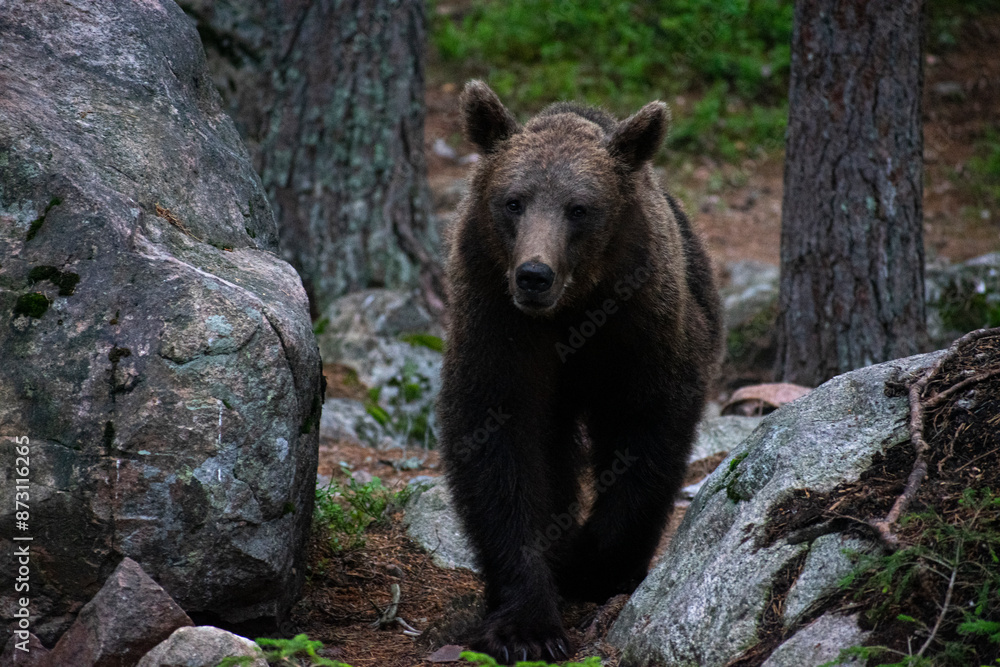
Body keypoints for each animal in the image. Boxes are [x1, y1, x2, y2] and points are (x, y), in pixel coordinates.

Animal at [436, 80, 722, 664]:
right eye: (513, 202)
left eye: (579, 208)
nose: (534, 275)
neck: (573, 311)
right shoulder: (498, 327)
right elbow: (499, 448)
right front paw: (527, 626)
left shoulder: (641, 327)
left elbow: (647, 432)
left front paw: (595, 565)